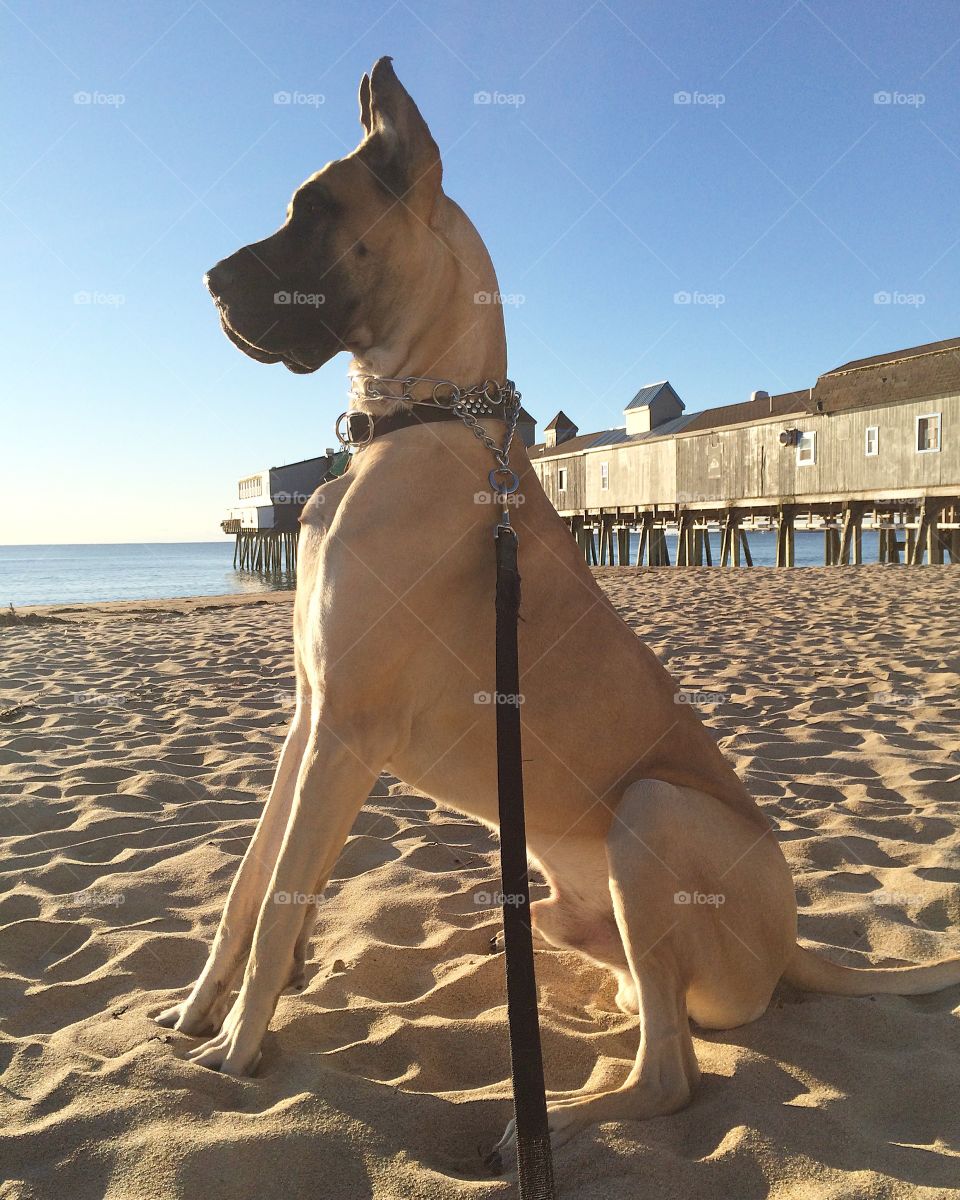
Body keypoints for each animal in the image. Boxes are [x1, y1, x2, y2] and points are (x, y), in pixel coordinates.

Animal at [157, 58, 960, 1171]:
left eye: (315, 211)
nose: (207, 282)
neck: (422, 421)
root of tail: (795, 947)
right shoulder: (307, 717)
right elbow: (245, 883)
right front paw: (197, 1016)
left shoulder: (346, 733)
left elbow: (281, 901)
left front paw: (235, 1056)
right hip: (563, 911)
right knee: (642, 1009)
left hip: (652, 814)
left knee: (671, 1073)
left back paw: (551, 1125)